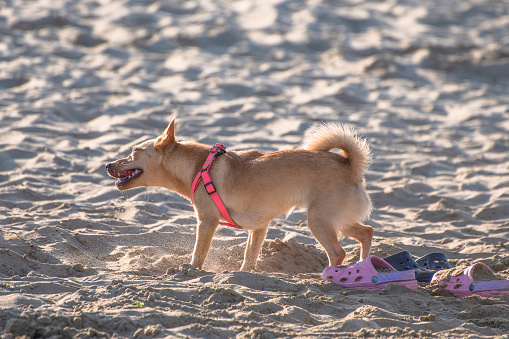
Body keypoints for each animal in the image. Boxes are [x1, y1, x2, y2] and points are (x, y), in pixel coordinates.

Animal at [105, 118, 372, 272]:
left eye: (134, 151)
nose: (108, 164)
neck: (199, 167)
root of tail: (349, 164)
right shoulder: (259, 228)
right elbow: (249, 257)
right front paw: (243, 275)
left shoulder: (207, 222)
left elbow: (198, 254)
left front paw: (190, 271)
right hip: (337, 220)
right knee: (366, 232)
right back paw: (364, 266)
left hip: (319, 221)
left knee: (338, 253)